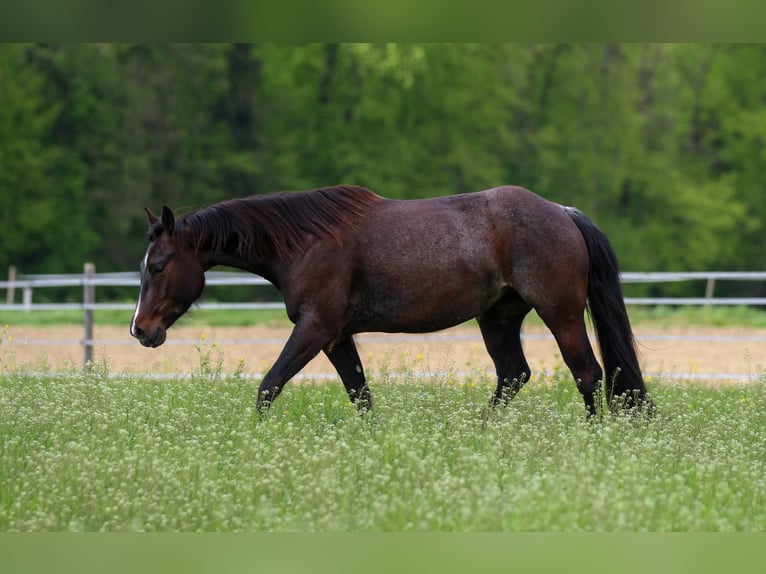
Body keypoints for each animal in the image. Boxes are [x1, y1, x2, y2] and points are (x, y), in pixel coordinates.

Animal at [130, 184, 650, 416]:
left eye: (158, 266)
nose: (140, 330)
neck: (305, 243)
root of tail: (562, 211)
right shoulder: (336, 336)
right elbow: (361, 396)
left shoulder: (315, 328)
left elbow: (268, 387)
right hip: (497, 318)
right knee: (513, 375)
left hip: (560, 314)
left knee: (588, 374)